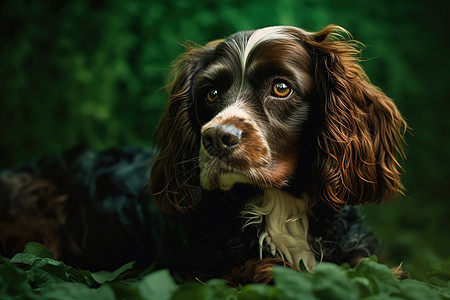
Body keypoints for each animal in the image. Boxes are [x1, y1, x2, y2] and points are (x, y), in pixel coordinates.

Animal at [0, 24, 406, 284]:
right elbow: (267, 269)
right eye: (211, 93)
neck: (280, 205)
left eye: (281, 87)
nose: (216, 138)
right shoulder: (194, 271)